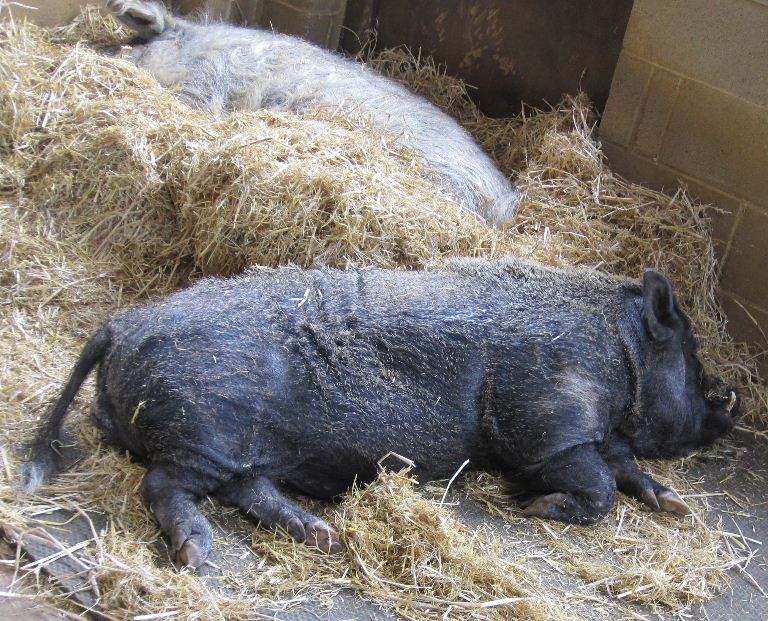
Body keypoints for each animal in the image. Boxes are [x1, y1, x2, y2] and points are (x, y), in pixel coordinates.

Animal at [20, 257, 740, 568]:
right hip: (206, 424)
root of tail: (120, 324)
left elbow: (627, 471)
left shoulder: (600, 434)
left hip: (243, 445)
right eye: (695, 362)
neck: (620, 359)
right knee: (164, 484)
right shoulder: (546, 421)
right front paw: (537, 506)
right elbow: (595, 488)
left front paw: (674, 504)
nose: (731, 400)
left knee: (249, 489)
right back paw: (199, 557)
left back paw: (324, 535)